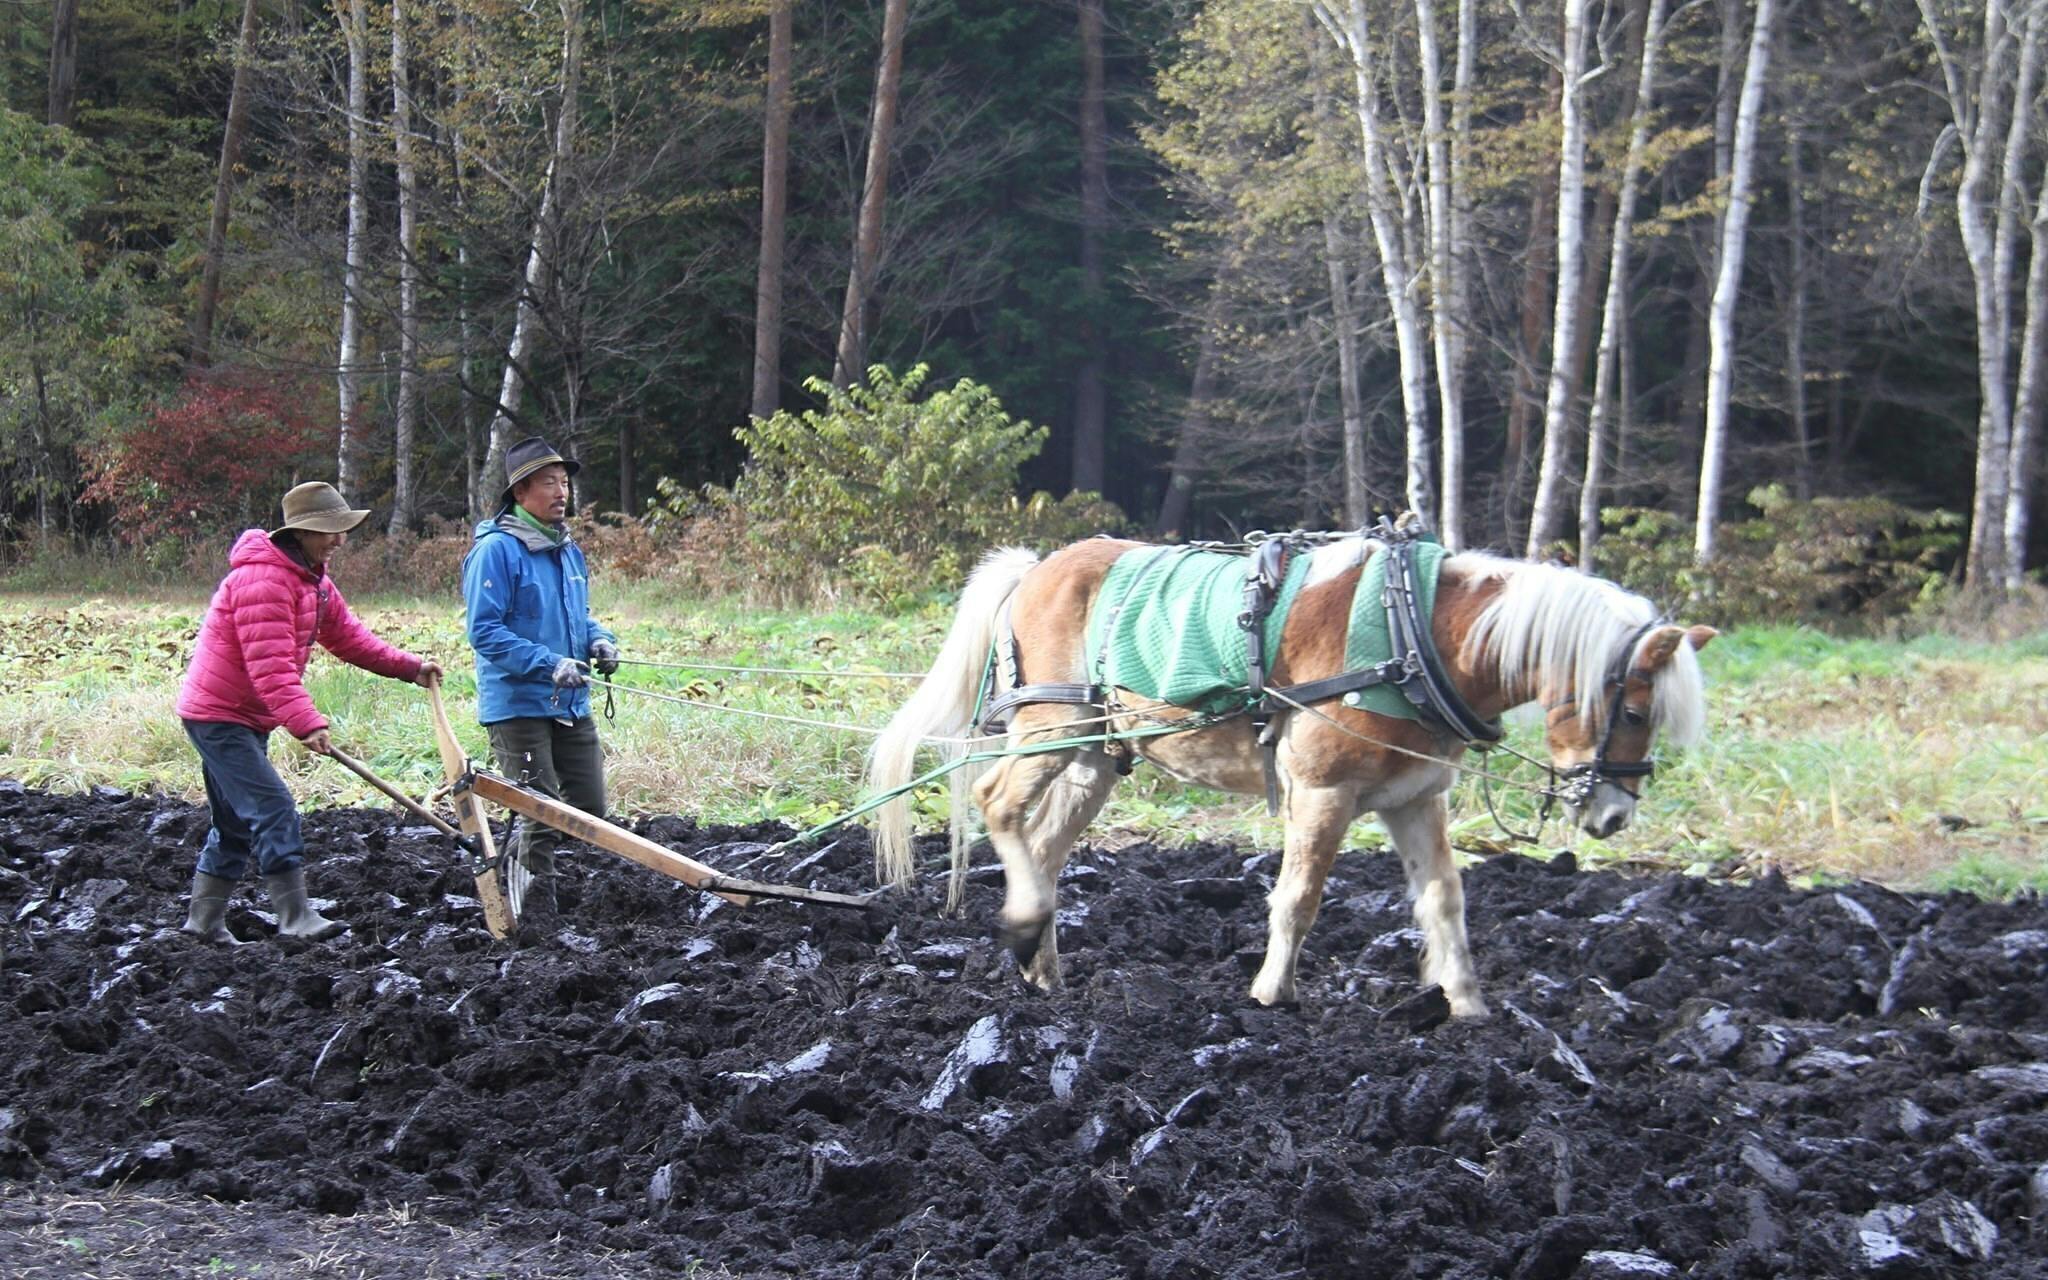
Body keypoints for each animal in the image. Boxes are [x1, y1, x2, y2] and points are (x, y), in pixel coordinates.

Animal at [864, 532, 1712, 1019]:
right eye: (1637, 708)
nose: (1613, 817)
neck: (1414, 634)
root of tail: (1037, 567)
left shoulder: (1415, 800)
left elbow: (1444, 899)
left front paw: (1466, 1002)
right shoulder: (1324, 792)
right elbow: (1299, 899)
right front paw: (1273, 993)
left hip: (1098, 755)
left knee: (1043, 845)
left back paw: (1041, 962)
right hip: (1051, 727)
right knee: (997, 805)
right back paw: (1022, 920)